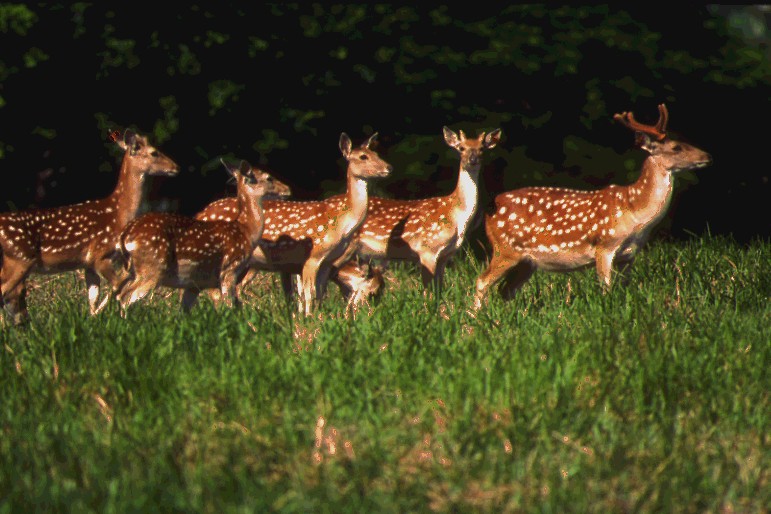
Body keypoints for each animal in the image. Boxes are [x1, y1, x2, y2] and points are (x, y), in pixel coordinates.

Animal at [0, 127, 179, 322]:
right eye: (154, 152)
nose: (175, 167)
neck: (118, 214)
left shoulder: (88, 264)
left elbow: (93, 298)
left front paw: (93, 319)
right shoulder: (100, 255)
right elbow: (118, 286)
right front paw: (117, 317)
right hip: (19, 259)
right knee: (3, 290)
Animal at [116, 160, 292, 312]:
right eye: (269, 177)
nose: (288, 189)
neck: (245, 230)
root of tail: (126, 235)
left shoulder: (194, 284)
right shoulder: (229, 269)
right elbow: (230, 305)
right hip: (152, 268)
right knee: (125, 296)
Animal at [196, 131, 396, 316]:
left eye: (376, 153)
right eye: (363, 156)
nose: (389, 167)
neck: (342, 224)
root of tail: (200, 214)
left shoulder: (319, 263)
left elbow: (313, 294)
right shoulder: (312, 257)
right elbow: (309, 294)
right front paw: (310, 319)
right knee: (220, 291)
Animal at [474, 103, 716, 308]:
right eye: (676, 147)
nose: (708, 156)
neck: (635, 213)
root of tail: (490, 208)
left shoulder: (629, 255)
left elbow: (624, 288)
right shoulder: (604, 245)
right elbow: (606, 289)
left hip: (527, 262)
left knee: (505, 291)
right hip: (505, 249)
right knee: (481, 281)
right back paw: (474, 321)